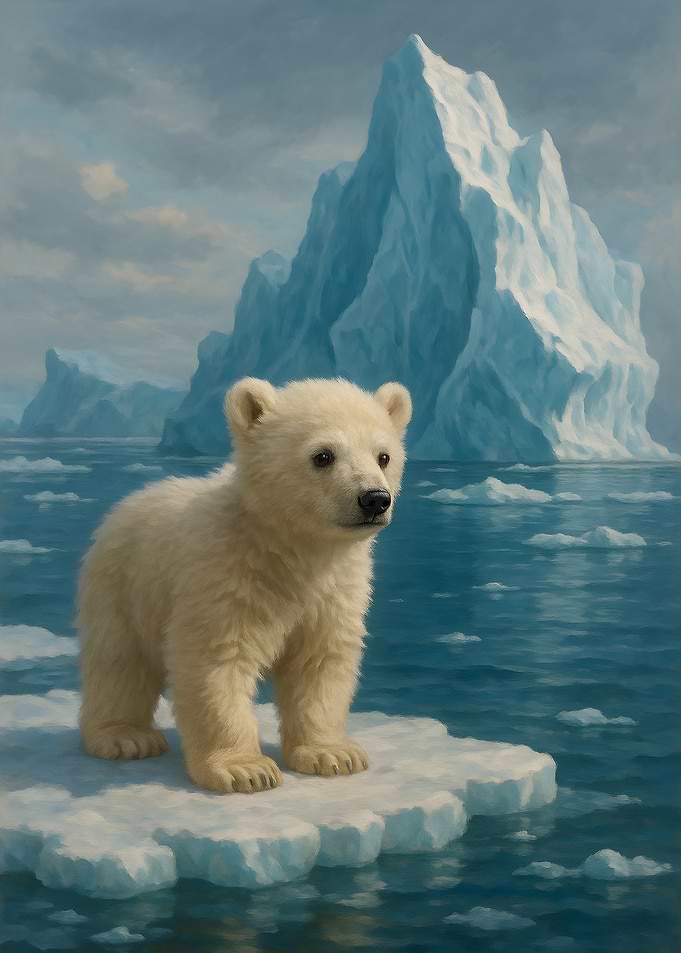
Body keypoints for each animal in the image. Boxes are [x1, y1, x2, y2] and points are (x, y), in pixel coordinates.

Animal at [78, 376, 412, 794]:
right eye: (323, 455)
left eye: (383, 456)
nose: (374, 499)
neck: (289, 549)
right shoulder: (225, 577)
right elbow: (218, 661)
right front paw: (246, 769)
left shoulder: (335, 590)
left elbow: (320, 661)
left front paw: (333, 754)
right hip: (121, 586)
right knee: (120, 662)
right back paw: (125, 736)